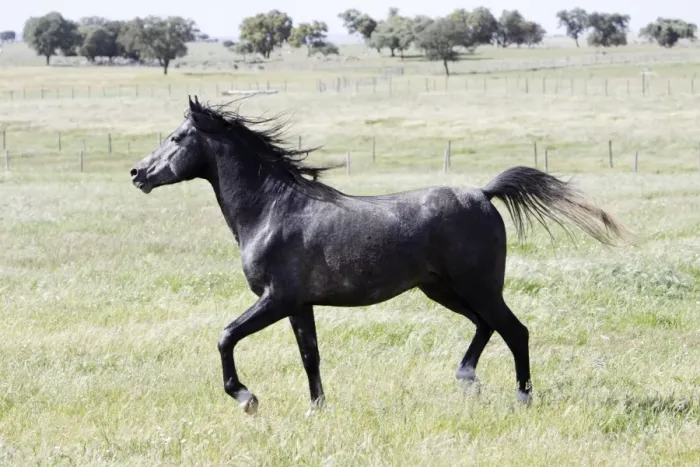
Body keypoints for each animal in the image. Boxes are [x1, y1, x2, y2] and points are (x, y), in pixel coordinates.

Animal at [130, 96, 629, 415]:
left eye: (177, 137)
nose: (138, 173)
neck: (272, 209)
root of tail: (483, 193)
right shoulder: (299, 305)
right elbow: (310, 356)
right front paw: (317, 409)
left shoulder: (276, 299)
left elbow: (226, 337)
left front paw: (246, 398)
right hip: (442, 290)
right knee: (487, 327)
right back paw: (466, 378)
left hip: (477, 287)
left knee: (515, 330)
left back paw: (522, 399)